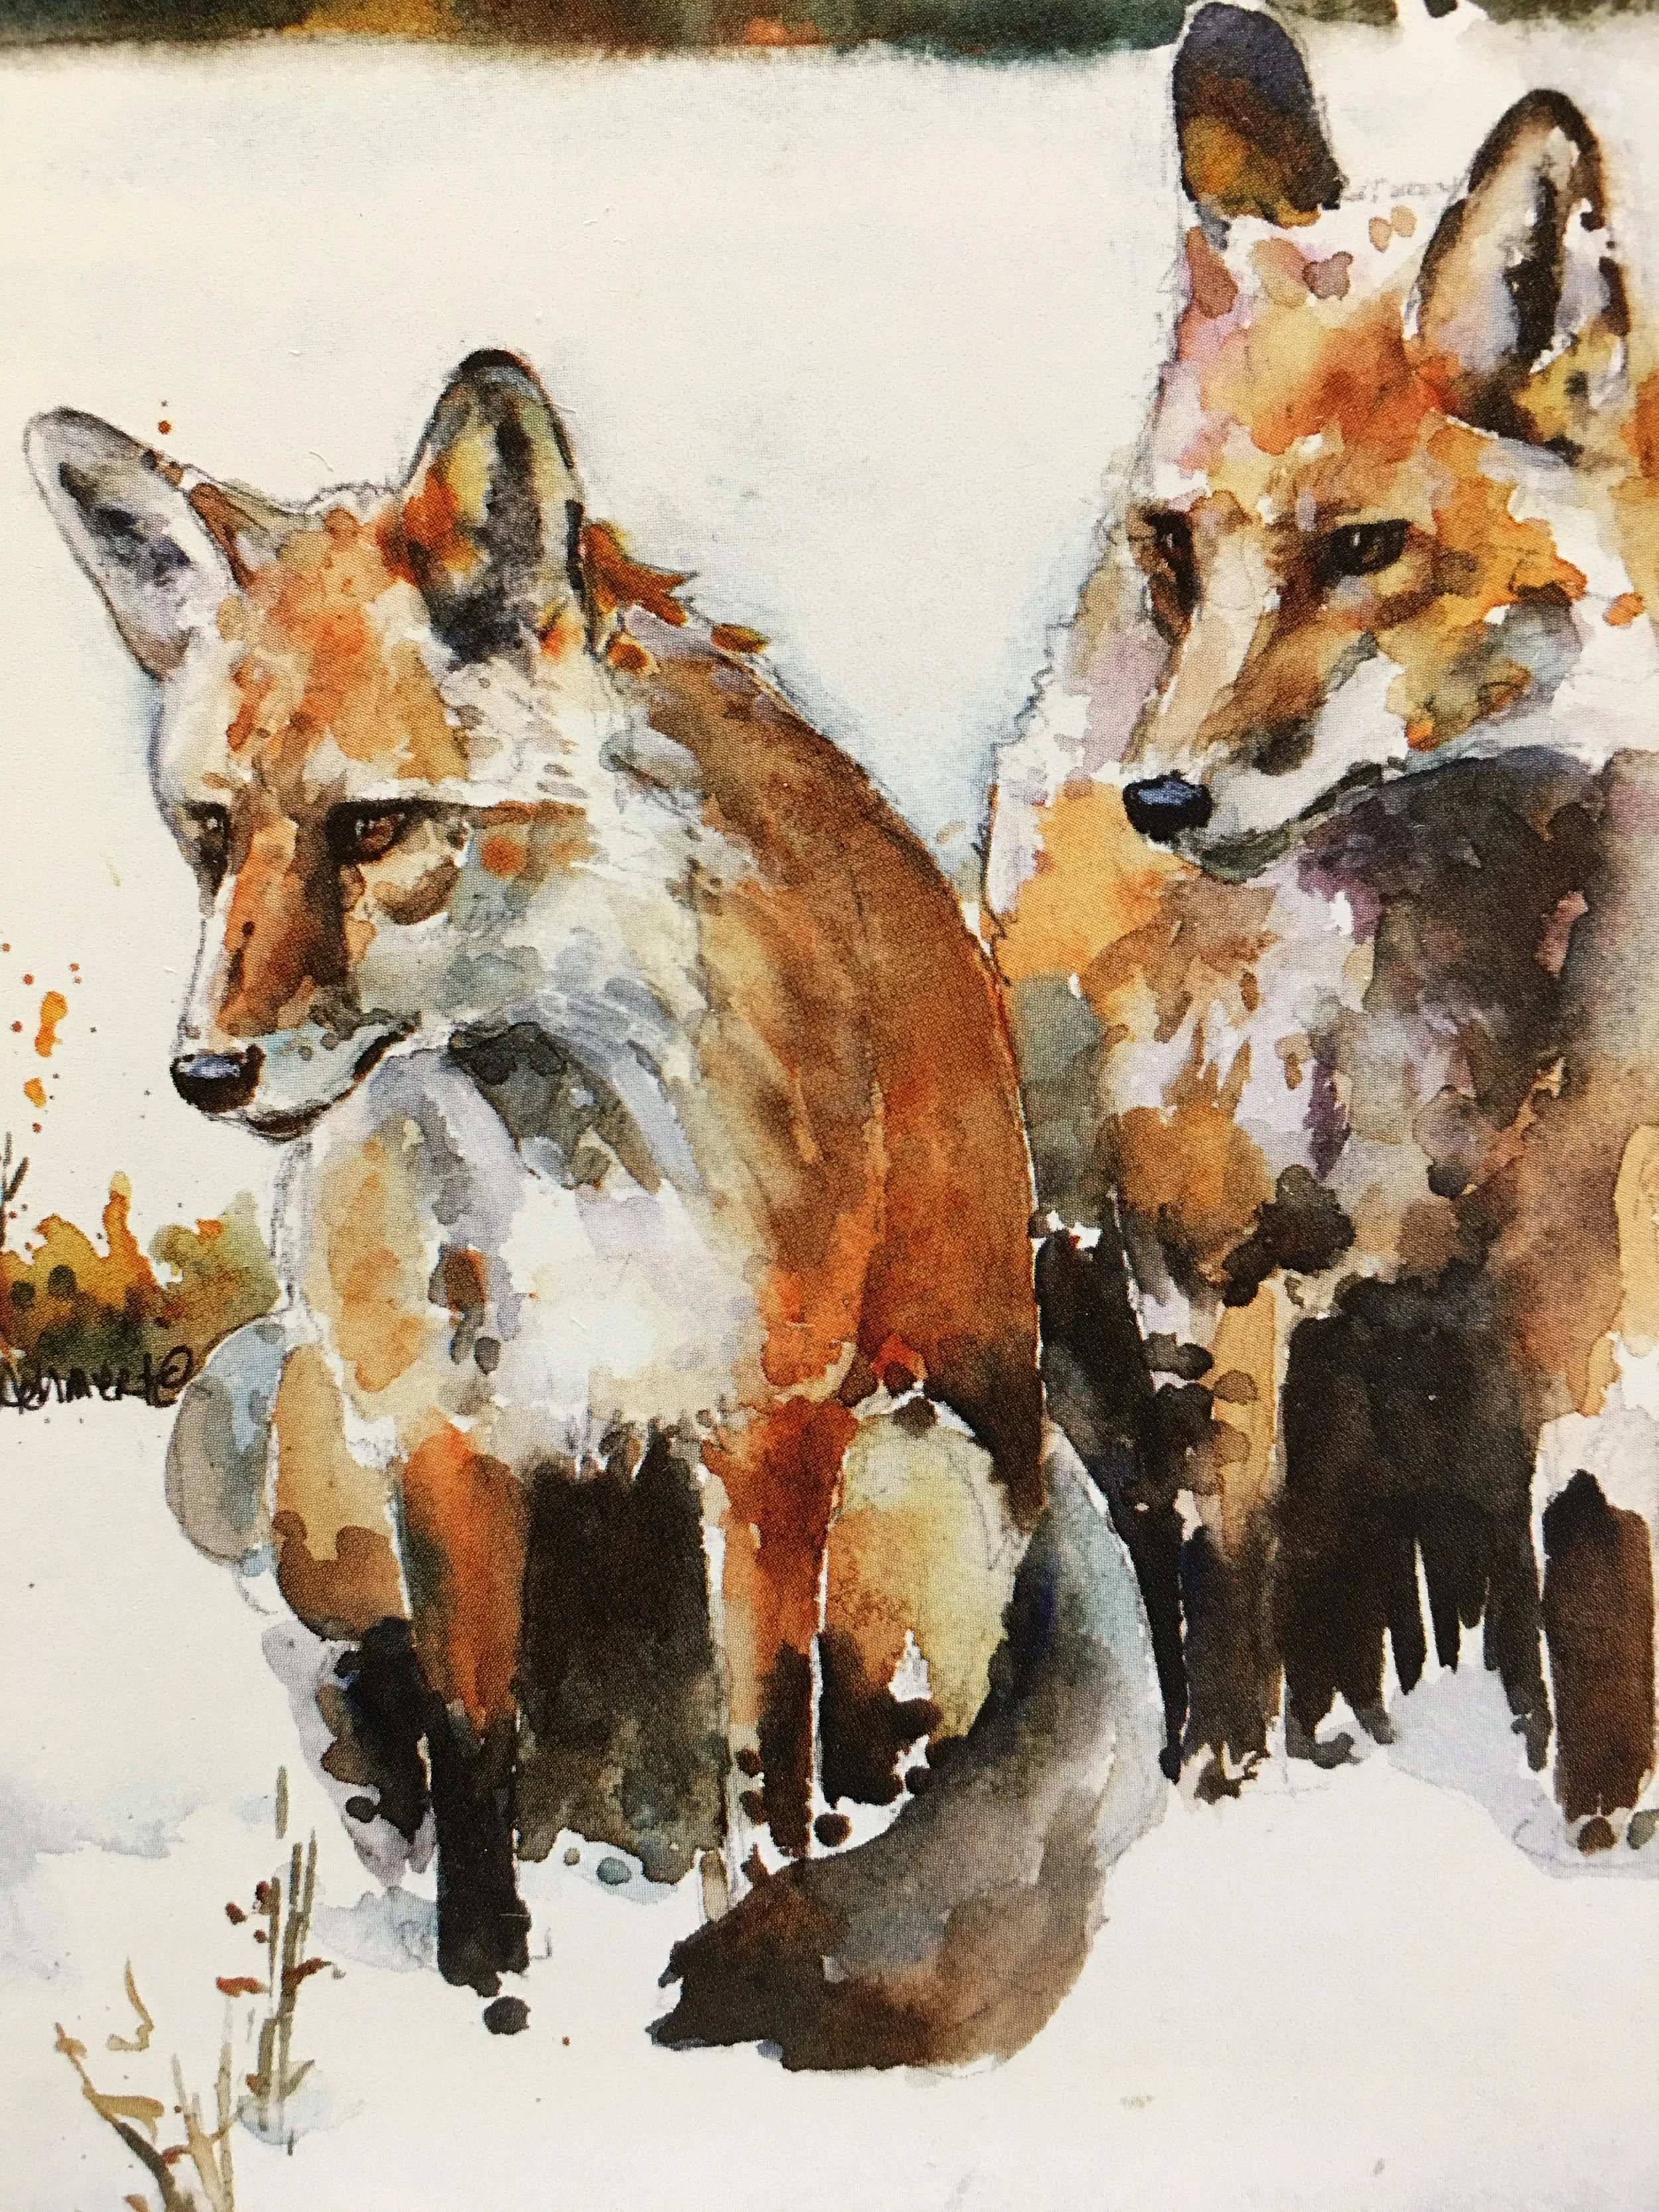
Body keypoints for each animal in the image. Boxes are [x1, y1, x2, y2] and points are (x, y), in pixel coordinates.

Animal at [27, 351, 1164, 2066]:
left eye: (374, 826)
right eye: (213, 832)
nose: (207, 1071)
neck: (549, 1152)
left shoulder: (769, 1423)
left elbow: (765, 1749)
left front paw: (751, 1938)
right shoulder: (439, 1430)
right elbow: (474, 1731)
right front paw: (480, 1973)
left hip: (917, 1470)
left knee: (862, 1743)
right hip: (301, 1430)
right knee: (392, 1691)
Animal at [987, 4, 1659, 1844]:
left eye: (1361, 547)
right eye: (1171, 544)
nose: (1156, 801)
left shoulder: (1587, 1282)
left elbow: (1601, 1565)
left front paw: (1604, 1831)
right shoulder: (1201, 1268)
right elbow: (1235, 1594)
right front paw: (1230, 1806)